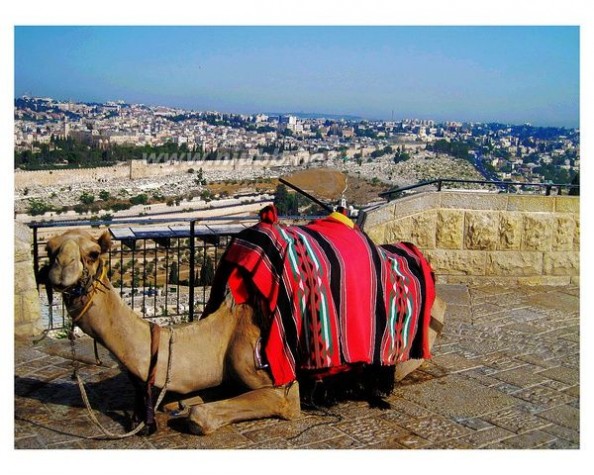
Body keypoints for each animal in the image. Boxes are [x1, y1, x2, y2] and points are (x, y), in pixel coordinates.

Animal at [41, 214, 444, 436]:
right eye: (50, 249)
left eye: (93, 253)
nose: (60, 273)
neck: (222, 331)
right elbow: (186, 398)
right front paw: (177, 403)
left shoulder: (280, 385)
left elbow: (201, 415)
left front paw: (189, 411)